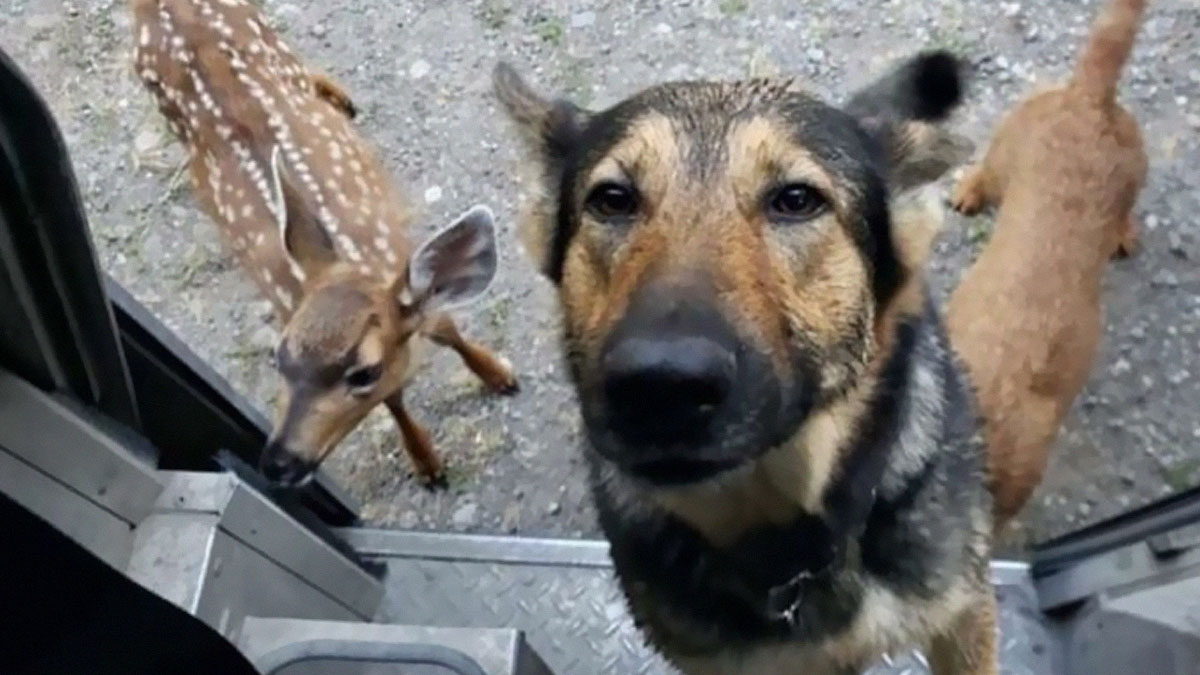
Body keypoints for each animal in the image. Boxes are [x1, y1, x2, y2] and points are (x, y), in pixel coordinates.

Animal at [129, 0, 518, 488]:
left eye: (363, 371)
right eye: (279, 357)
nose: (279, 463)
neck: (357, 258)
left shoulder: (402, 261)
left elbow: (444, 326)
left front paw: (499, 375)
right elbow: (395, 399)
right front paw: (427, 462)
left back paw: (338, 95)